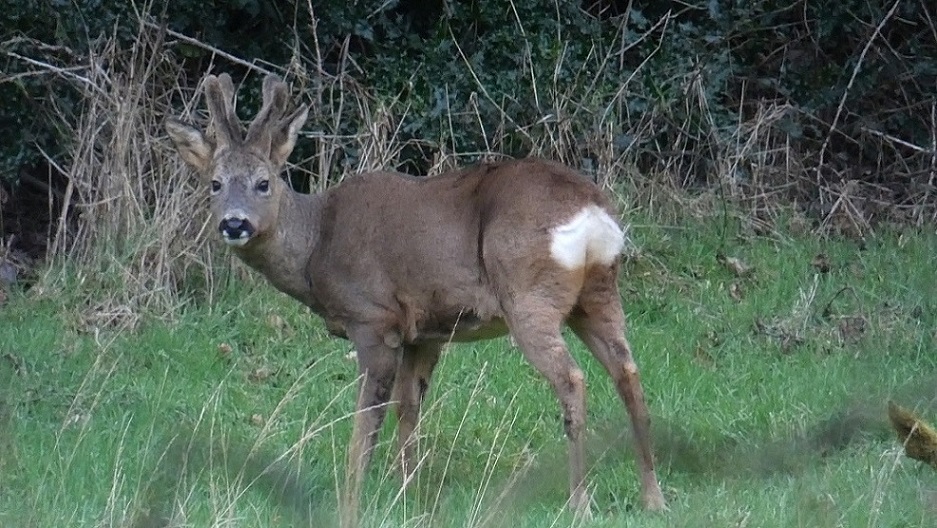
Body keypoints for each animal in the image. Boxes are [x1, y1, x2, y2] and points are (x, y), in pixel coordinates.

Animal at [166, 72, 664, 520]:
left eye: (264, 183)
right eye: (214, 183)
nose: (234, 223)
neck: (316, 245)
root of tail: (593, 213)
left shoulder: (374, 319)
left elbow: (367, 422)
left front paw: (352, 501)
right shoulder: (425, 331)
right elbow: (409, 410)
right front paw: (410, 494)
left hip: (527, 294)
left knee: (572, 379)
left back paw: (579, 502)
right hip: (598, 295)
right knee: (628, 372)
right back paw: (653, 497)